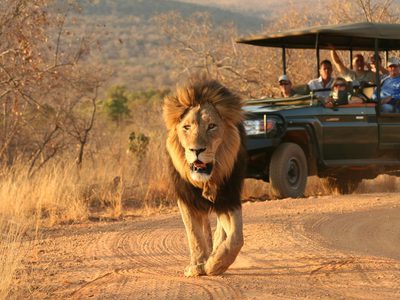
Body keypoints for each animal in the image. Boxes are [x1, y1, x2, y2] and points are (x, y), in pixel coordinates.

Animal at [162, 75, 247, 276]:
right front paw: (198, 265)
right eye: (186, 127)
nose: (196, 150)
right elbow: (194, 234)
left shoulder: (228, 197)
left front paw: (215, 265)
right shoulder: (186, 198)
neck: (206, 182)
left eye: (212, 126)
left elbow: (236, 237)